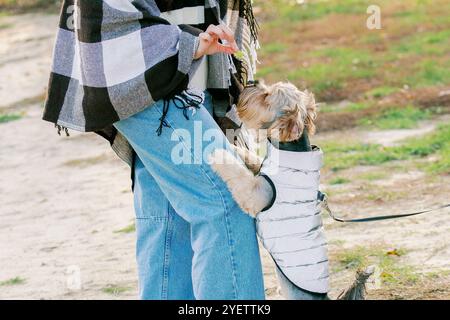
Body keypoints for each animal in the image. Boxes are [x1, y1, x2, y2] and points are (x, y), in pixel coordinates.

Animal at [208, 80, 316, 216]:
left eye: (266, 96)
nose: (252, 81)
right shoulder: (262, 166)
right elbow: (254, 160)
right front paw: (236, 149)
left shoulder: (256, 195)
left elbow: (240, 174)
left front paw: (220, 155)